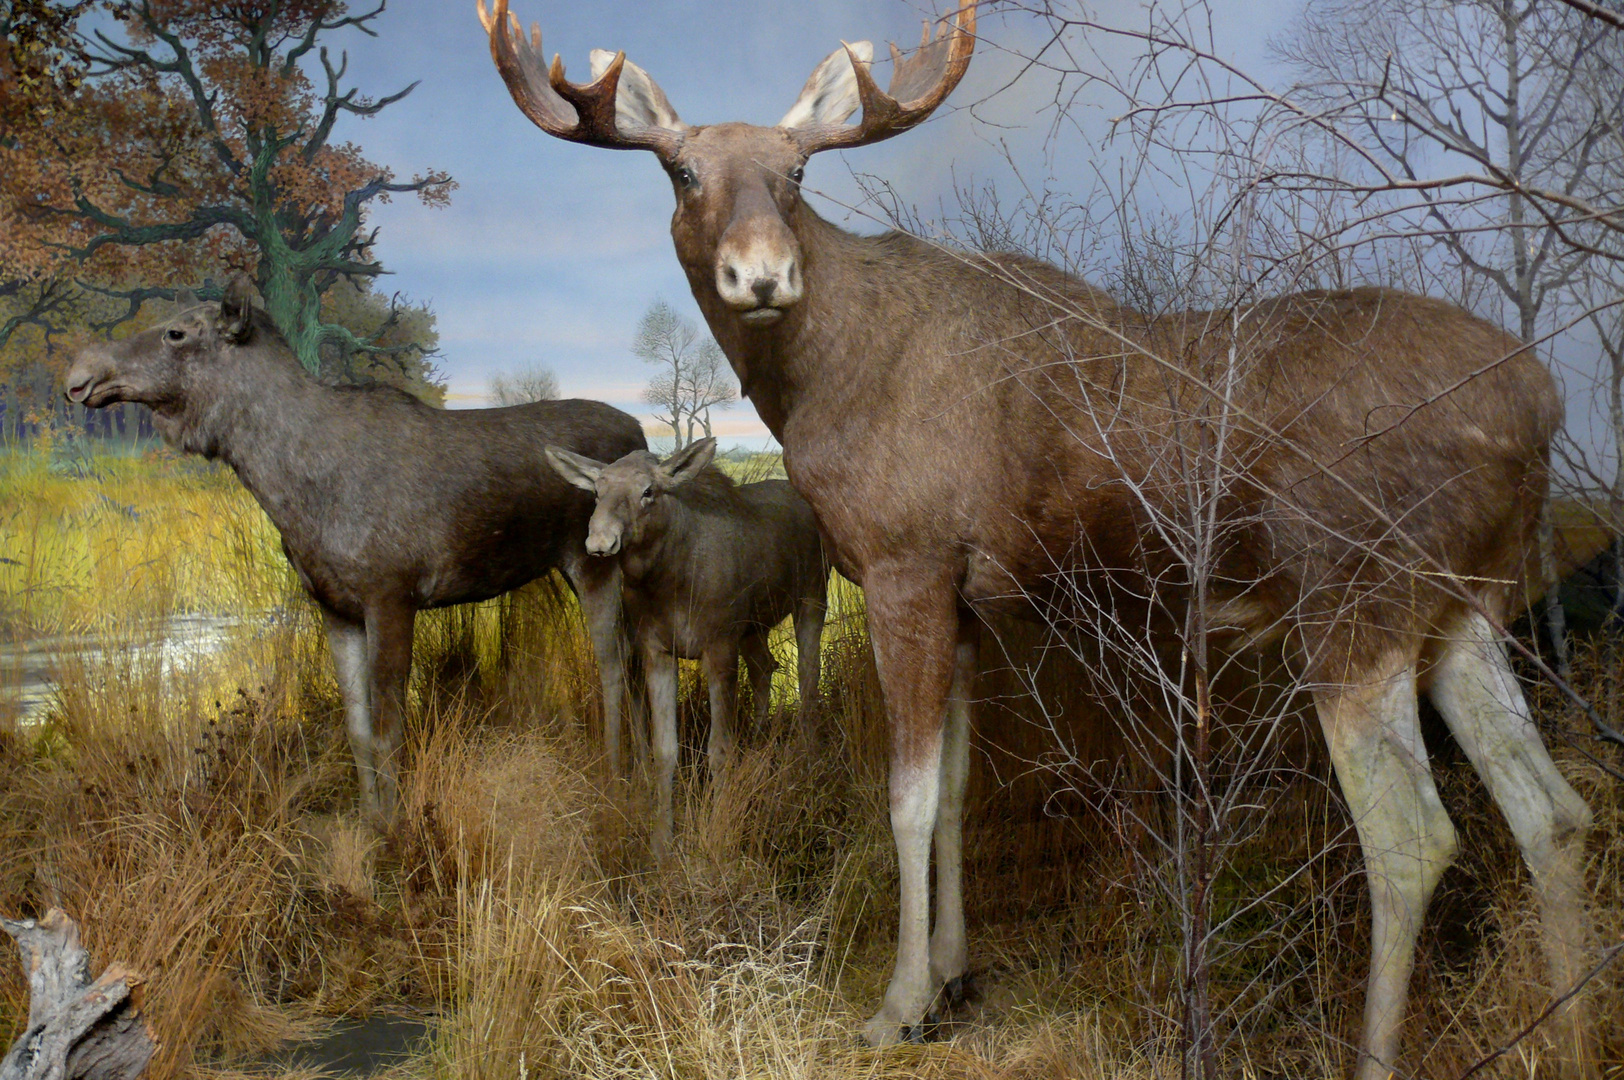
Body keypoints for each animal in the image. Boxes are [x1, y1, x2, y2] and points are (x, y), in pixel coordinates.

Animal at [64, 277, 646, 818]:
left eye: (177, 332)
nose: (79, 375)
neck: (287, 488)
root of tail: (640, 432)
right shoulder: (336, 607)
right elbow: (358, 730)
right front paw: (371, 822)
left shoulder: (390, 596)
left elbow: (390, 732)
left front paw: (398, 829)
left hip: (596, 563)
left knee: (615, 668)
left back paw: (618, 779)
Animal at [548, 435, 831, 857]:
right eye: (597, 491)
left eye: (648, 491)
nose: (600, 541)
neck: (668, 582)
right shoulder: (657, 651)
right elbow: (665, 750)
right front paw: (661, 841)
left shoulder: (719, 647)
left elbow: (719, 750)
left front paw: (719, 832)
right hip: (753, 626)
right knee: (766, 666)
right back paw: (760, 739)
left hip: (811, 597)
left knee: (808, 680)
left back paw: (809, 761)